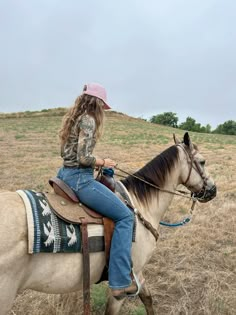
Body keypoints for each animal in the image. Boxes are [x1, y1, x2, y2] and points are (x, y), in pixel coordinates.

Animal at [0, 133, 217, 315]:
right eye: (202, 161)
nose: (213, 190)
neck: (139, 205)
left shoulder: (138, 274)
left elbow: (148, 299)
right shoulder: (125, 283)